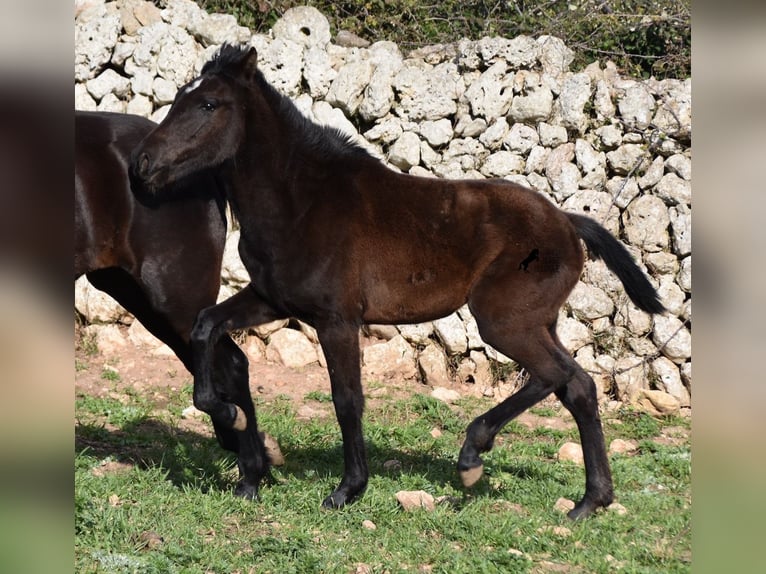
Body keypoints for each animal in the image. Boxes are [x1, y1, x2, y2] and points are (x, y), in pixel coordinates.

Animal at [130, 46, 664, 520]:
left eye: (208, 104)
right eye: (179, 97)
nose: (141, 165)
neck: (300, 201)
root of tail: (569, 223)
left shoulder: (337, 320)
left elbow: (347, 400)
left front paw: (347, 490)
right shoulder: (271, 299)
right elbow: (205, 325)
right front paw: (229, 417)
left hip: (504, 321)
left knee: (555, 376)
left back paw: (472, 458)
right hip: (537, 322)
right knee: (579, 387)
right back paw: (590, 502)